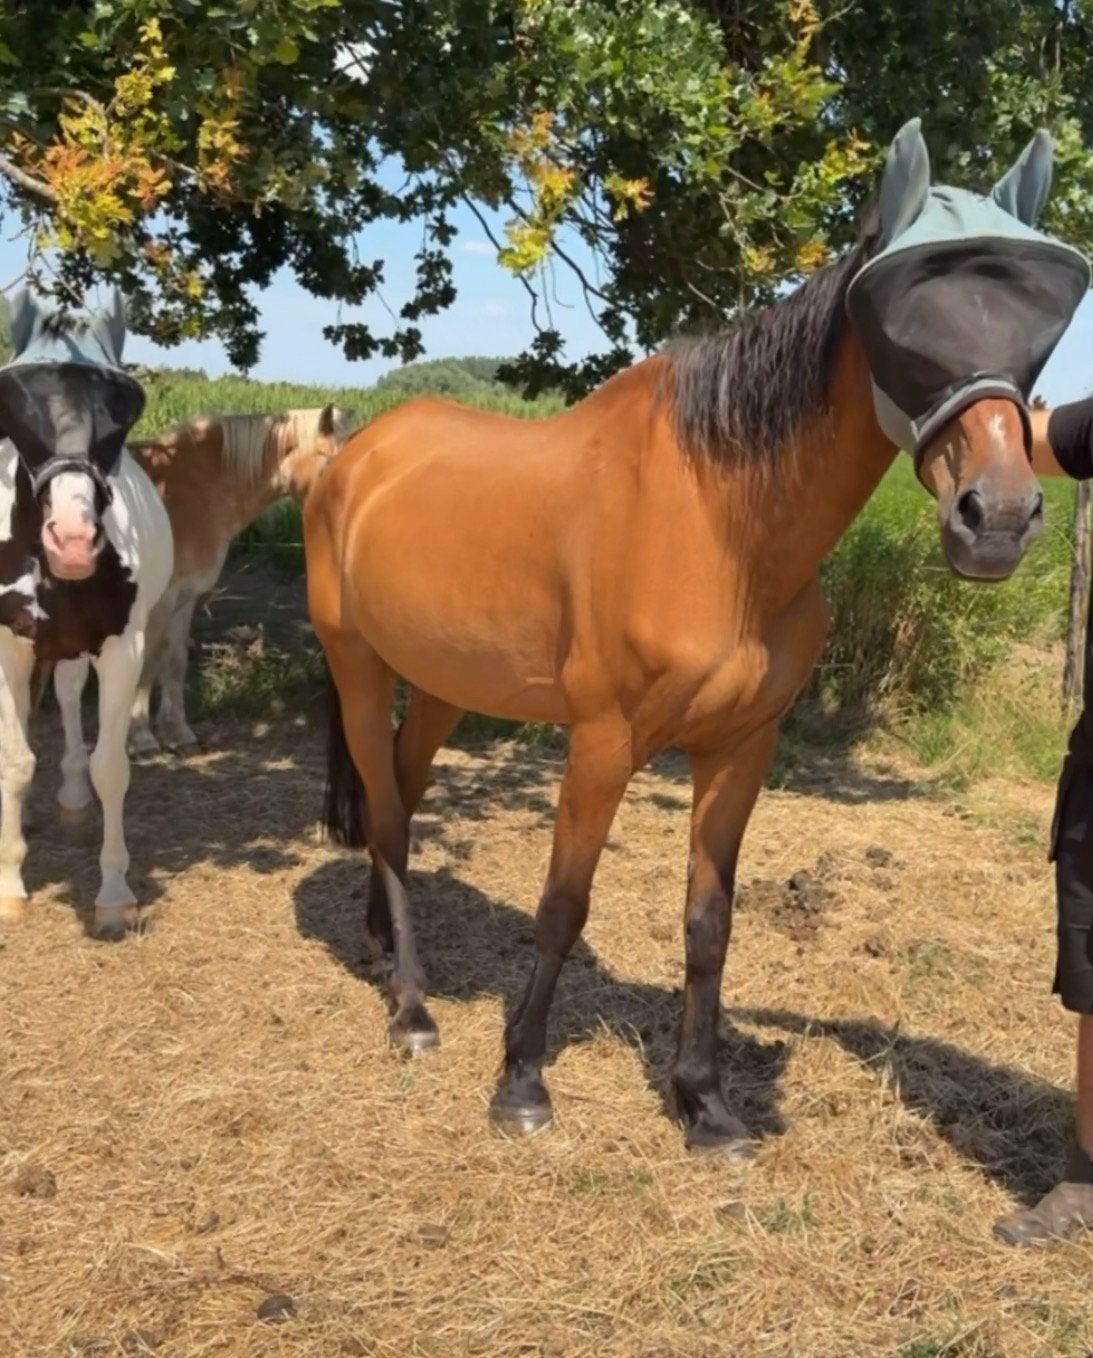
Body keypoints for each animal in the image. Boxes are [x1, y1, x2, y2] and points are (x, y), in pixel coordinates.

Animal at [0, 289, 173, 941]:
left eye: (126, 403)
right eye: (12, 398)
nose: (72, 540)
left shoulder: (121, 647)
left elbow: (110, 768)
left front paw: (114, 894)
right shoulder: (8, 642)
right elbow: (15, 762)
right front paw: (10, 883)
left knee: (72, 696)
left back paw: (73, 798)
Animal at [114, 405, 352, 754]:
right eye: (328, 463)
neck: (192, 488)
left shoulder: (184, 599)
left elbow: (174, 662)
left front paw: (178, 733)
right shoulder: (159, 602)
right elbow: (147, 665)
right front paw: (141, 738)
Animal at [304, 121, 1088, 1155]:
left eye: (1031, 331)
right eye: (904, 328)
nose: (995, 518)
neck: (719, 525)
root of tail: (350, 456)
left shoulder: (739, 747)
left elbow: (708, 919)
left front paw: (703, 1102)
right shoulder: (601, 745)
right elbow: (562, 907)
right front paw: (521, 1081)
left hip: (438, 683)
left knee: (399, 786)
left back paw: (386, 950)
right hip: (357, 666)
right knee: (389, 818)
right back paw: (410, 1010)